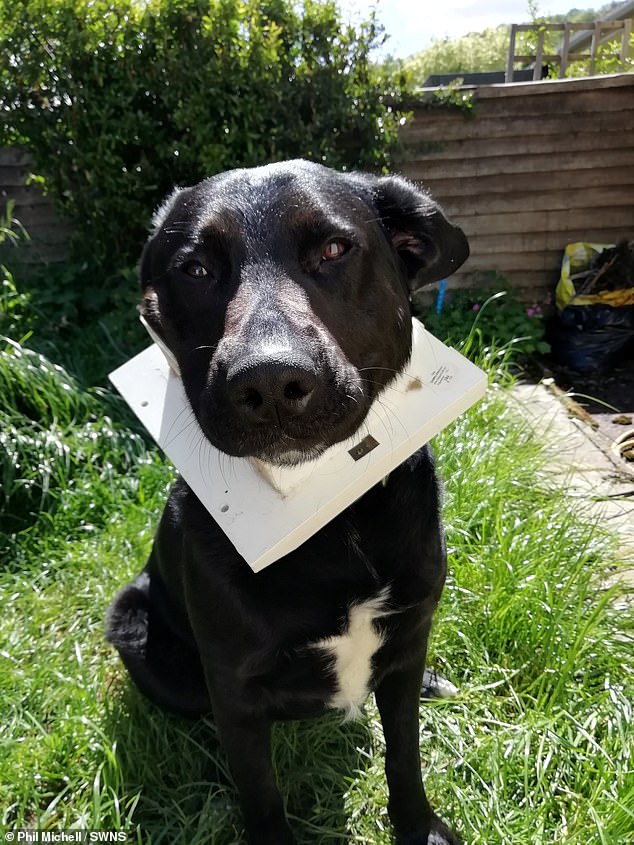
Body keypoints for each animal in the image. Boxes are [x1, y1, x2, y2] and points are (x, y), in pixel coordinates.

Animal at [106, 160, 466, 844]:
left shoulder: (409, 639)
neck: (336, 526)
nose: (269, 383)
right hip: (137, 629)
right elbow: (262, 795)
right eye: (196, 269)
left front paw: (420, 826)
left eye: (334, 249)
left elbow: (403, 753)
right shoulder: (236, 691)